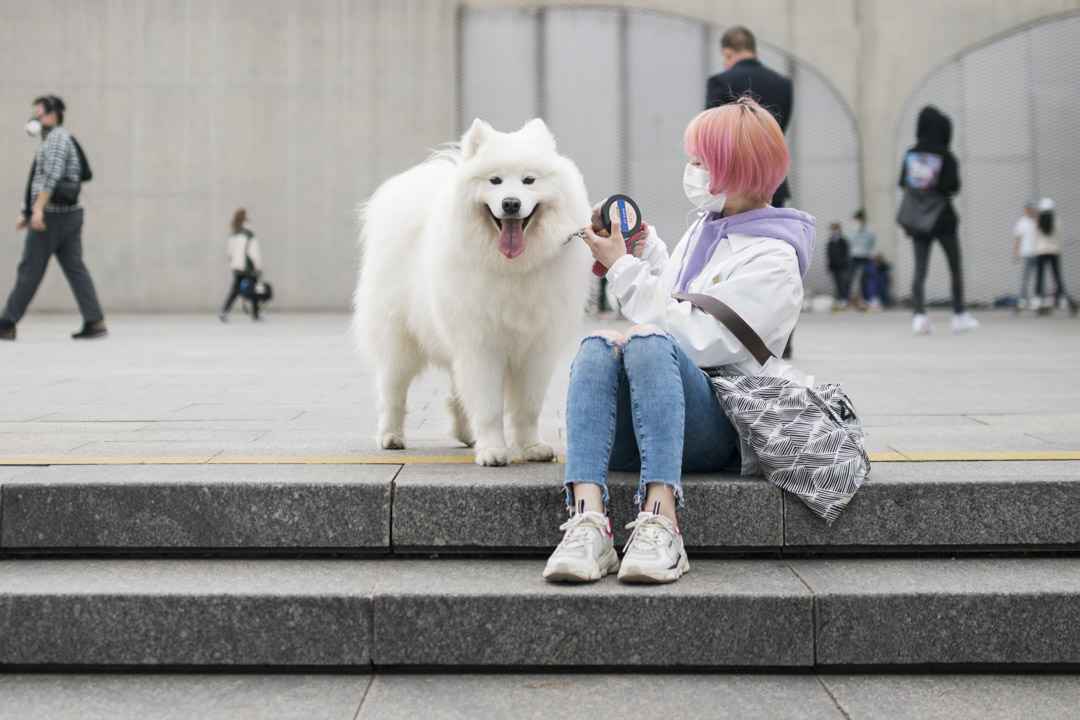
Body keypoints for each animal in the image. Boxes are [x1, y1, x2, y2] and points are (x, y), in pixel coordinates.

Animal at [352, 118, 591, 468]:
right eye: (495, 180)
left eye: (529, 180)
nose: (510, 203)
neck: (513, 268)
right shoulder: (482, 346)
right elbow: (489, 406)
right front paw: (493, 451)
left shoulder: (536, 350)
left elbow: (528, 407)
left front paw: (532, 448)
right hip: (399, 342)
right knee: (392, 391)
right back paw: (391, 437)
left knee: (457, 392)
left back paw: (466, 435)